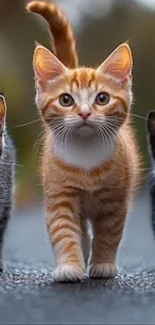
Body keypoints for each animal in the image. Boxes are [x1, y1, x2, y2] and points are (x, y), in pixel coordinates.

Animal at [27, 0, 140, 280]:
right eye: (66, 100)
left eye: (102, 98)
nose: (85, 113)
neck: (86, 157)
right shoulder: (60, 196)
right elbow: (65, 232)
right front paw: (69, 266)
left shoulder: (114, 201)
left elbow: (109, 234)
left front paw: (103, 264)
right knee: (80, 229)